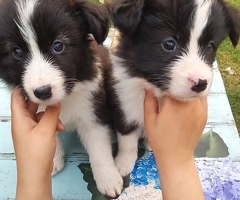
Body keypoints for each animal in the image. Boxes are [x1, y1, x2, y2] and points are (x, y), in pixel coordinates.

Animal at [0, 0, 123, 197]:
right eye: (16, 52)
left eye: (58, 46)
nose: (42, 92)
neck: (66, 97)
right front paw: (52, 161)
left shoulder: (93, 111)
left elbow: (99, 149)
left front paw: (108, 179)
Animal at [109, 0, 240, 178]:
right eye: (169, 44)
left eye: (210, 47)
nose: (201, 83)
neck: (156, 90)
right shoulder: (124, 104)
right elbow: (127, 139)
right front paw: (123, 164)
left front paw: (150, 144)